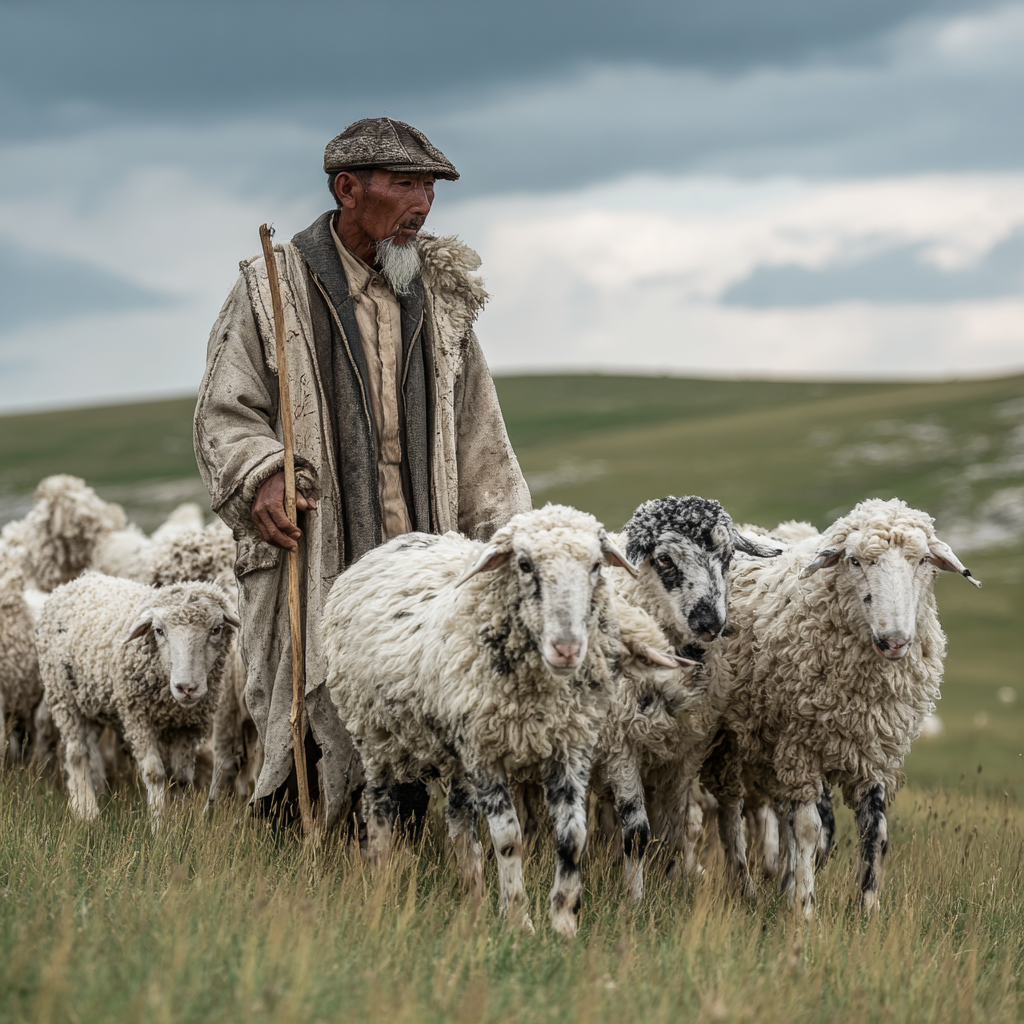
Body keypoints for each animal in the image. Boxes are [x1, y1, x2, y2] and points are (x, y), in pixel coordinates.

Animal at [38, 573, 239, 823]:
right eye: (159, 630)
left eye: (217, 629)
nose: (186, 688)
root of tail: (75, 582)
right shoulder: (138, 719)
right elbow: (155, 773)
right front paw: (159, 823)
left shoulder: (188, 726)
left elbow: (181, 778)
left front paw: (178, 823)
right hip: (62, 695)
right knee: (76, 752)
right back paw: (88, 812)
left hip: (92, 700)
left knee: (88, 747)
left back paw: (88, 797)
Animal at [324, 506, 638, 938]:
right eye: (524, 565)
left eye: (595, 566)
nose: (567, 648)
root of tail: (388, 546)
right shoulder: (487, 755)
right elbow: (509, 840)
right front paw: (519, 920)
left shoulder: (569, 747)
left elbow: (573, 837)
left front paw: (563, 925)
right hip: (375, 735)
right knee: (380, 806)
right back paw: (382, 881)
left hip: (457, 749)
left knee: (459, 822)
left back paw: (473, 899)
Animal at [604, 495, 781, 893]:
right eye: (664, 559)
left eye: (727, 556)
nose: (710, 623)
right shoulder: (621, 743)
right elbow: (636, 832)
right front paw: (633, 899)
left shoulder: (687, 749)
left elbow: (675, 825)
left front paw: (671, 883)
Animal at [707, 498, 981, 916]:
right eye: (854, 561)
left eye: (922, 560)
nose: (894, 641)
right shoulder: (802, 747)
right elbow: (808, 829)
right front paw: (804, 908)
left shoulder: (876, 755)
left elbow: (875, 831)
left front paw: (868, 910)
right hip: (725, 739)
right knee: (729, 811)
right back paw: (745, 886)